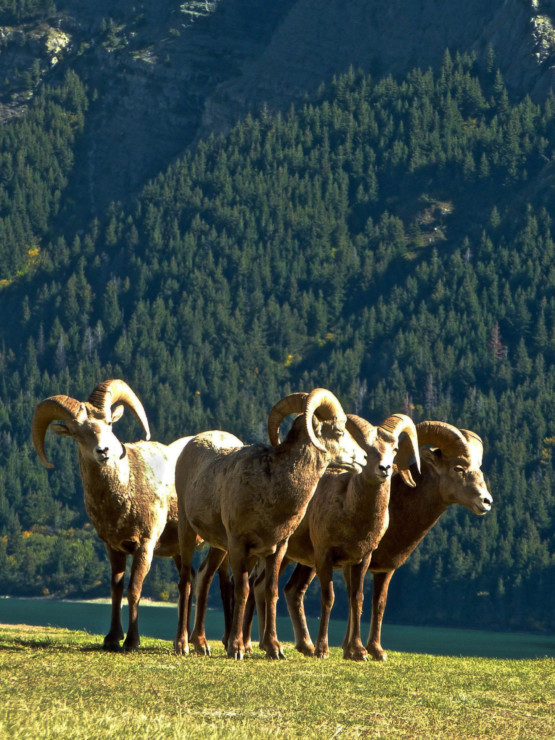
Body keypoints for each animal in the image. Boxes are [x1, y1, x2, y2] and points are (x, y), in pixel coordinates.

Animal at [32, 378, 232, 652]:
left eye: (109, 423)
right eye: (76, 432)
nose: (103, 451)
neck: (127, 487)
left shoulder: (145, 546)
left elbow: (134, 589)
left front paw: (131, 642)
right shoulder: (113, 547)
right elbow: (116, 589)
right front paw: (111, 639)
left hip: (217, 546)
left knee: (207, 580)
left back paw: (203, 644)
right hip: (184, 551)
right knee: (197, 581)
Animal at [174, 388, 364, 660]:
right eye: (338, 430)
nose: (364, 458)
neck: (271, 488)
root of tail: (193, 443)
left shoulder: (277, 549)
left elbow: (270, 591)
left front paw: (274, 649)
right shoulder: (239, 546)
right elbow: (242, 590)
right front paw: (236, 648)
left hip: (219, 547)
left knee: (204, 577)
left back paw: (201, 644)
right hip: (188, 532)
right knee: (186, 581)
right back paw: (182, 645)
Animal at [245, 414, 420, 660]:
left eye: (394, 449)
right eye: (367, 449)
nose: (384, 468)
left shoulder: (361, 560)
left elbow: (356, 599)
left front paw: (358, 651)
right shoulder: (324, 556)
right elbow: (328, 598)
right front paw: (323, 650)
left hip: (292, 559)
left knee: (271, 588)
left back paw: (290, 646)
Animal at [282, 420, 490, 660]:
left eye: (479, 468)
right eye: (458, 468)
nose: (486, 501)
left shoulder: (382, 569)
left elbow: (376, 603)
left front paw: (372, 650)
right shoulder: (352, 563)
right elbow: (354, 600)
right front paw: (353, 650)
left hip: (306, 562)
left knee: (292, 591)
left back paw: (305, 646)